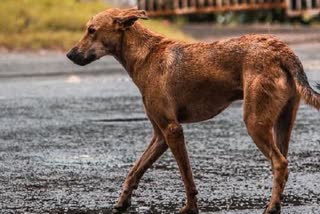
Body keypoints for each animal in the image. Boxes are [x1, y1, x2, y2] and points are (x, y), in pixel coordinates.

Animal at [65, 7, 320, 214]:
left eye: (91, 30)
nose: (69, 54)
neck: (144, 55)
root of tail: (282, 49)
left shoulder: (172, 130)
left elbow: (187, 178)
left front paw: (190, 208)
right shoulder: (160, 136)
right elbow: (135, 171)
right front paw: (122, 201)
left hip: (254, 122)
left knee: (280, 163)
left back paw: (271, 207)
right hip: (282, 122)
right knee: (284, 165)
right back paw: (276, 203)